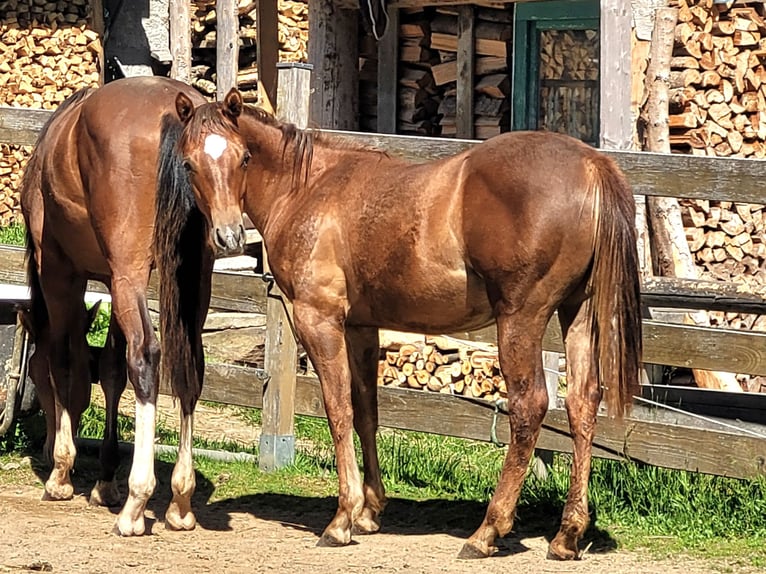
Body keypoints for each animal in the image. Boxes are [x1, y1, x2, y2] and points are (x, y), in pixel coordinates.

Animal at [19, 76, 228, 537]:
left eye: (34, 381)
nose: (43, 446)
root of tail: (173, 110)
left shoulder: (60, 271)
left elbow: (63, 360)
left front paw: (62, 472)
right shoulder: (113, 282)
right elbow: (112, 369)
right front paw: (105, 480)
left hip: (127, 272)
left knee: (147, 356)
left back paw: (137, 502)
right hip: (192, 277)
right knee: (189, 365)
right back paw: (180, 501)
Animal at [163, 88, 642, 560]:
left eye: (243, 157)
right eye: (190, 163)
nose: (228, 236)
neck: (308, 189)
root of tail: (591, 163)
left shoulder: (318, 320)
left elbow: (337, 409)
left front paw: (342, 518)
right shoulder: (360, 327)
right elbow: (365, 410)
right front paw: (370, 510)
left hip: (520, 318)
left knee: (530, 408)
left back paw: (487, 531)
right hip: (577, 313)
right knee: (582, 403)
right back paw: (567, 534)